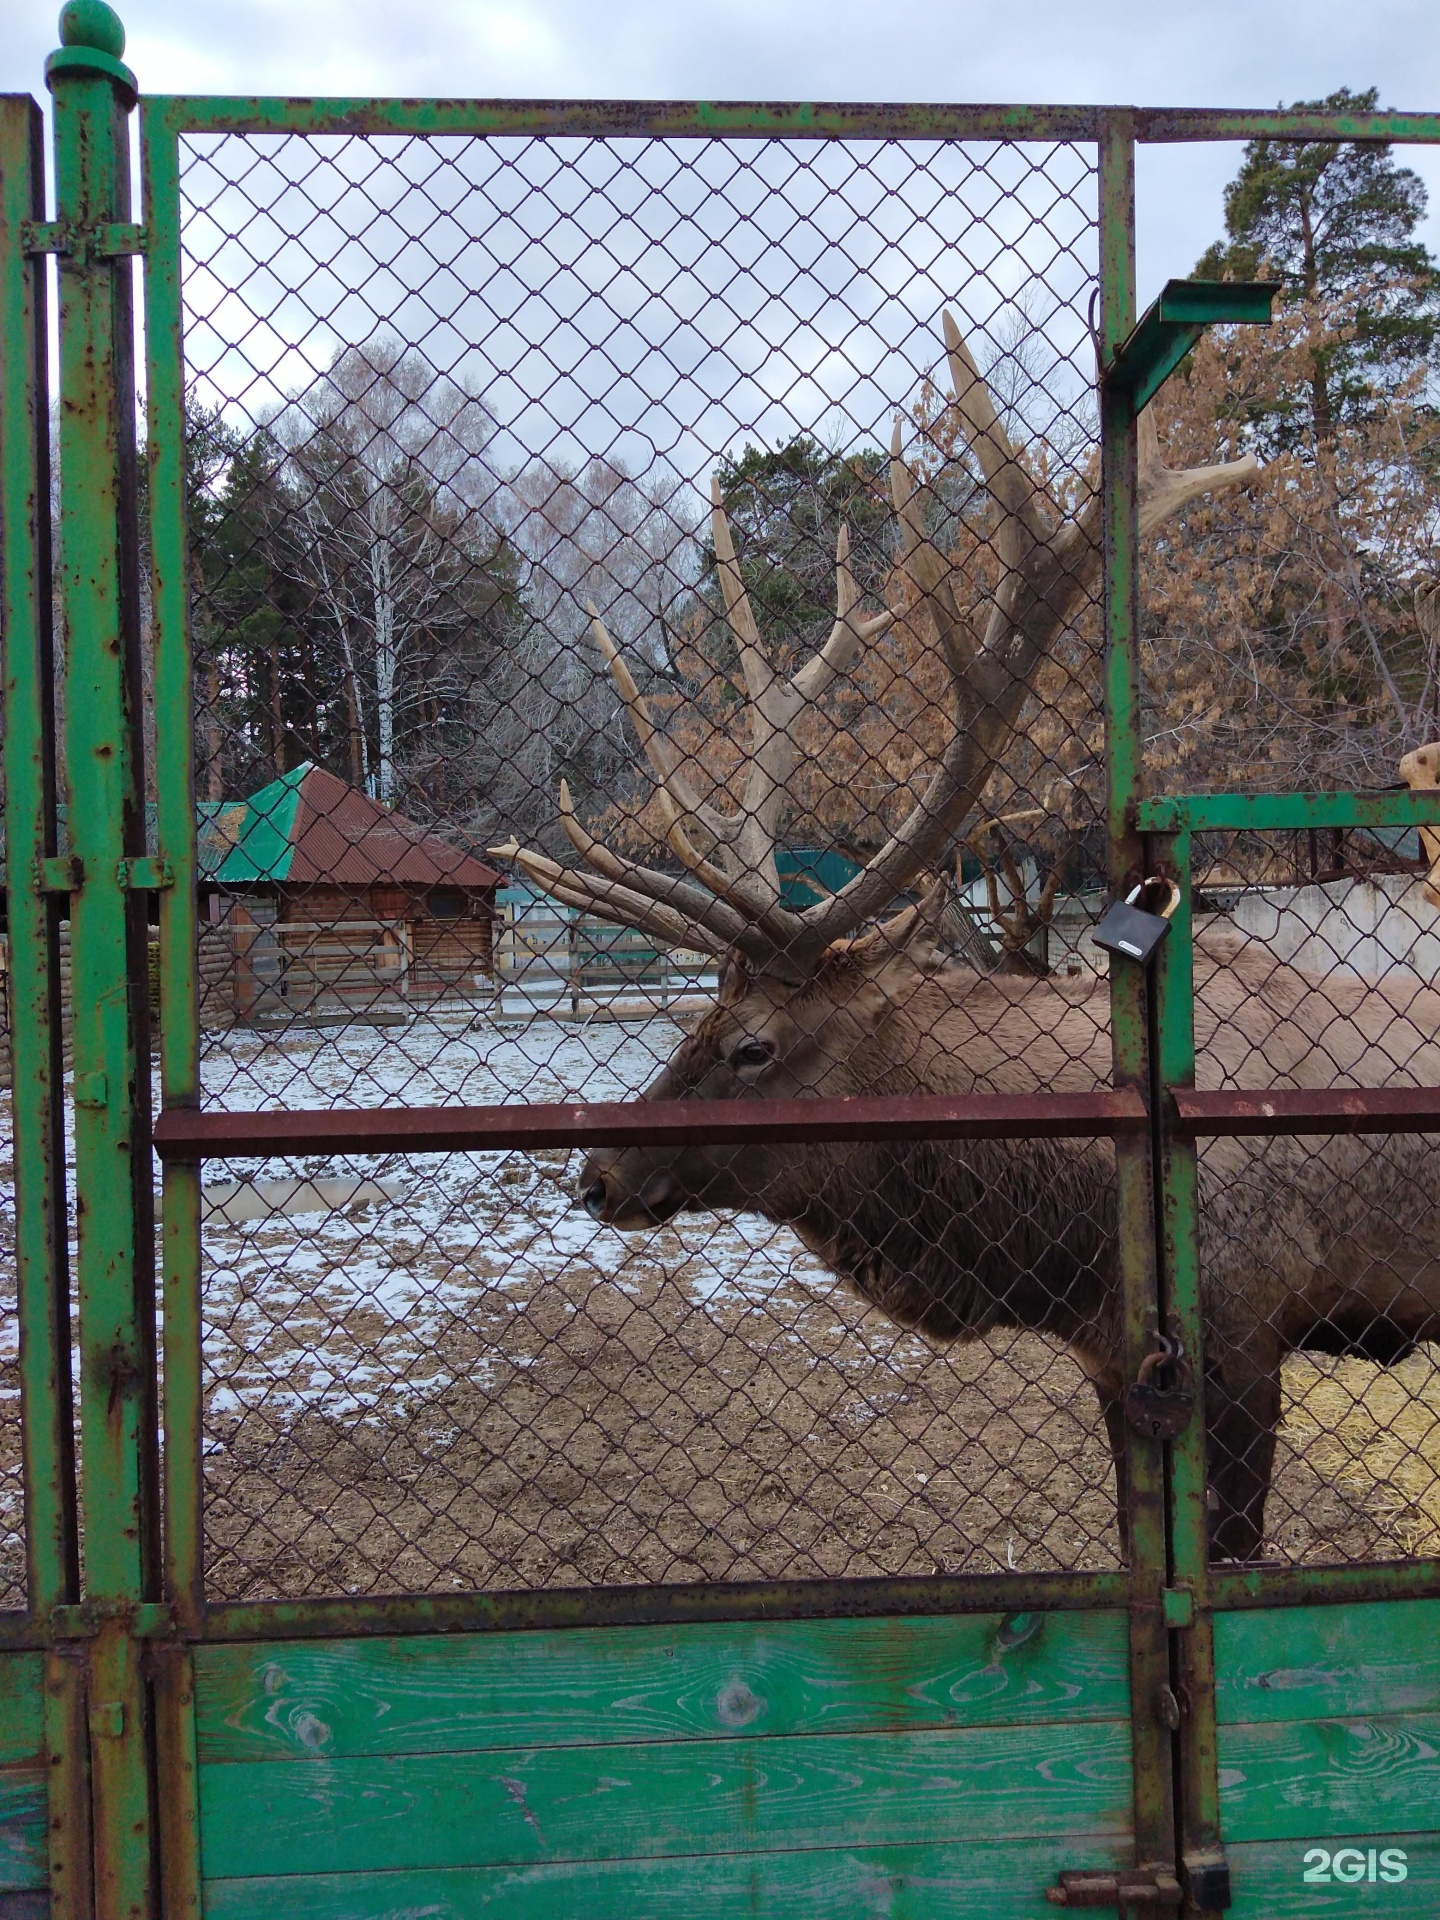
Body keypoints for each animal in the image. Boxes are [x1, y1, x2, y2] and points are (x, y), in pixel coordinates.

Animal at [495, 314, 1440, 1566]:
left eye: (751, 1046)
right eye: (694, 1018)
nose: (597, 1174)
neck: (1065, 1239)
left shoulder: (1243, 1332)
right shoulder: (1119, 1362)